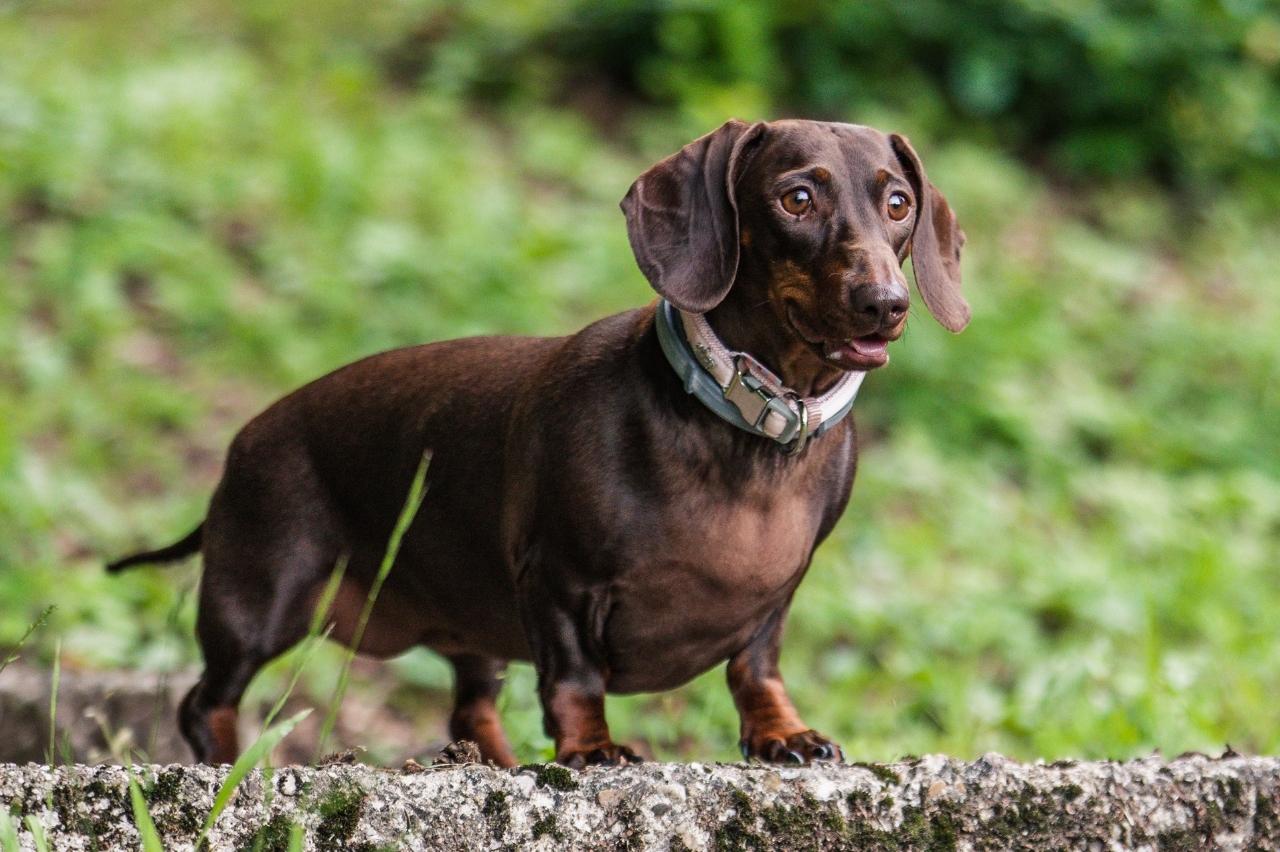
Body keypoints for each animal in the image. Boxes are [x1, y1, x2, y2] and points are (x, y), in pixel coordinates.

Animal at [112, 117, 967, 762]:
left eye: (897, 203)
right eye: (797, 197)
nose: (886, 303)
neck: (749, 433)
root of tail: (244, 439)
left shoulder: (774, 600)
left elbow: (757, 671)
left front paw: (783, 734)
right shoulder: (558, 580)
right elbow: (575, 680)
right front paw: (591, 750)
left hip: (468, 624)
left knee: (468, 711)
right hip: (265, 597)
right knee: (204, 702)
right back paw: (230, 768)